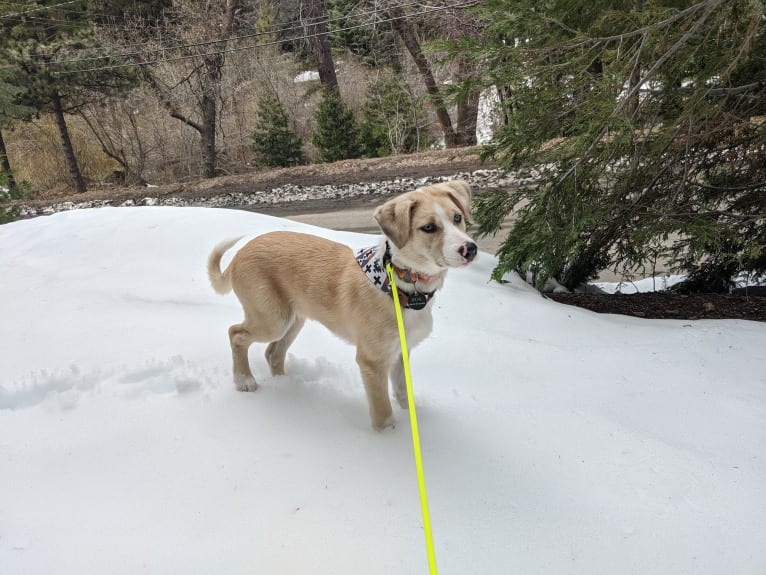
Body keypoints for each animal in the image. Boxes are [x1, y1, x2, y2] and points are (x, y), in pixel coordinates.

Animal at [207, 180, 476, 428]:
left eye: (457, 217)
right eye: (428, 227)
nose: (470, 249)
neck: (399, 284)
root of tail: (239, 254)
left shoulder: (401, 351)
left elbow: (403, 393)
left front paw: (413, 421)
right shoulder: (372, 360)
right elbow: (383, 413)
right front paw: (389, 439)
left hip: (294, 319)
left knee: (273, 353)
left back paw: (286, 387)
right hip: (273, 319)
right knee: (236, 334)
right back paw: (244, 380)